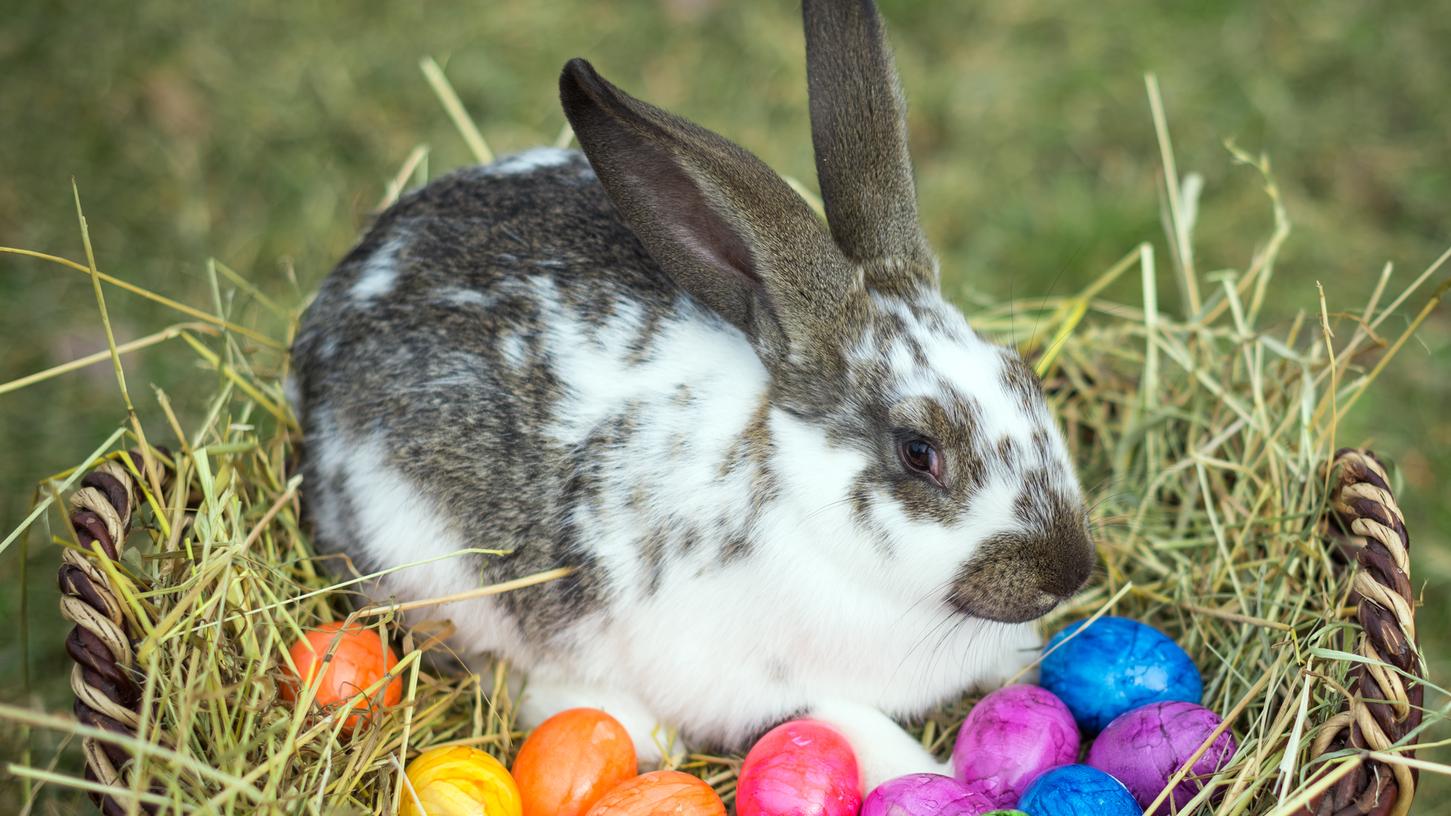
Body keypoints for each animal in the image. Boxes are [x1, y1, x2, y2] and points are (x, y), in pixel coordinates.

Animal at [288, 0, 1091, 784]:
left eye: (1023, 377)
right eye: (918, 451)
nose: (1068, 574)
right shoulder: (769, 685)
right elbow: (864, 733)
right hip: (435, 572)